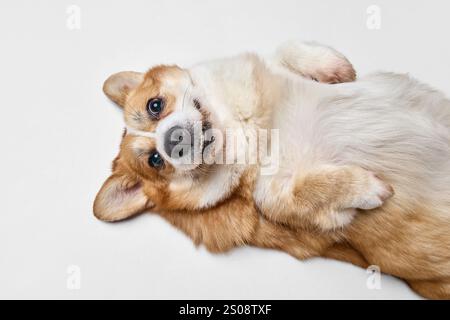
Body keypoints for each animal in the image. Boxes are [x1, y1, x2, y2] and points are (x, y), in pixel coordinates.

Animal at [94, 41, 450, 298]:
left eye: (155, 106)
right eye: (155, 161)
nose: (172, 140)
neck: (242, 127)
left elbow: (285, 47)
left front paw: (332, 66)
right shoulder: (275, 196)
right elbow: (297, 195)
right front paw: (365, 188)